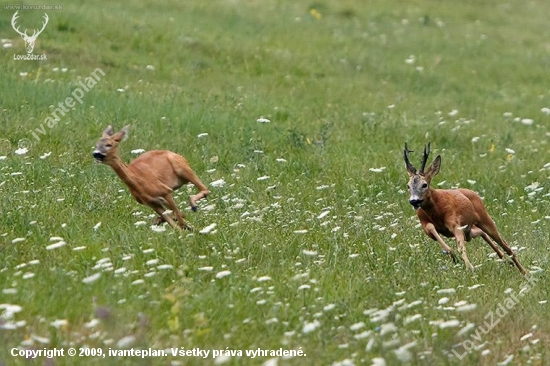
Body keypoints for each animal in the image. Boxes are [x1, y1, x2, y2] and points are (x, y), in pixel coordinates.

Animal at [406, 143, 528, 274]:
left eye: (424, 185)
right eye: (408, 186)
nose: (414, 201)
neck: (436, 210)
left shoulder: (455, 222)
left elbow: (460, 247)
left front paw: (470, 267)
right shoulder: (425, 225)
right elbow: (431, 228)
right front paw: (454, 256)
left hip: (484, 218)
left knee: (506, 245)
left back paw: (524, 271)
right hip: (469, 230)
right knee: (482, 234)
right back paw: (506, 261)